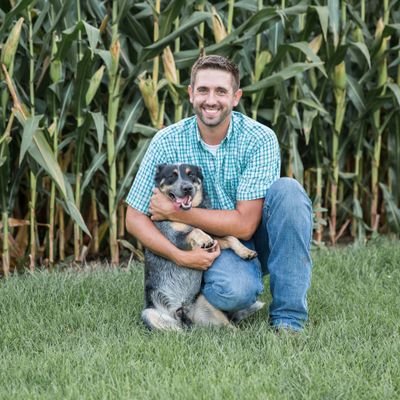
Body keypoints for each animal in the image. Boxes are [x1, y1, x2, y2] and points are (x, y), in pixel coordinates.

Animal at [142, 162, 264, 332]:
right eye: (172, 175)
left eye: (191, 175)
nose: (187, 188)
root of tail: (183, 313)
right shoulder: (174, 239)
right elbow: (195, 231)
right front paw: (204, 238)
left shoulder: (216, 239)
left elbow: (230, 237)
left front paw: (246, 252)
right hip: (150, 314)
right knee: (176, 331)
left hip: (207, 305)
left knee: (228, 326)